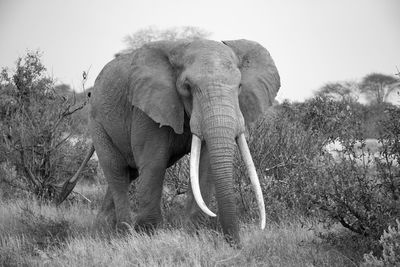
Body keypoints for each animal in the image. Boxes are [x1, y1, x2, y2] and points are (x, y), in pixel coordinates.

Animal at [57, 38, 280, 246]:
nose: (235, 244)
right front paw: (148, 236)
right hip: (97, 123)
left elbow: (205, 165)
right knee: (117, 172)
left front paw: (193, 235)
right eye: (187, 87)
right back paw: (124, 234)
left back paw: (102, 230)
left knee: (130, 173)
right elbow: (154, 162)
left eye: (239, 86)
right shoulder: (147, 107)